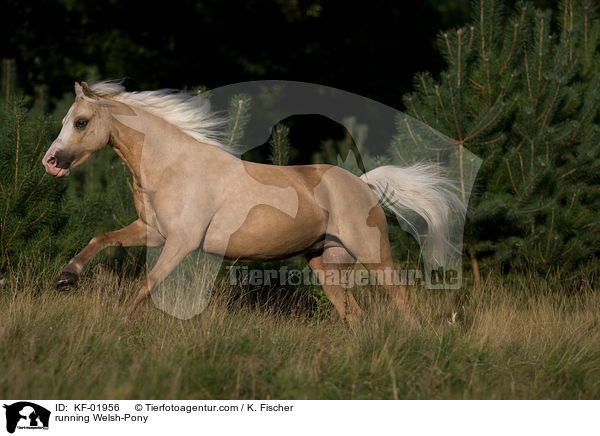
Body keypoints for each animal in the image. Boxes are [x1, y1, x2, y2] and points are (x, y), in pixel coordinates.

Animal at [42, 82, 462, 322]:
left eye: (80, 122)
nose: (51, 162)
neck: (172, 166)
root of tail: (362, 184)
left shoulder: (180, 242)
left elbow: (147, 284)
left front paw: (122, 326)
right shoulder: (153, 232)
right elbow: (101, 239)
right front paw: (66, 277)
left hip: (374, 255)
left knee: (404, 304)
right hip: (326, 264)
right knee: (353, 315)